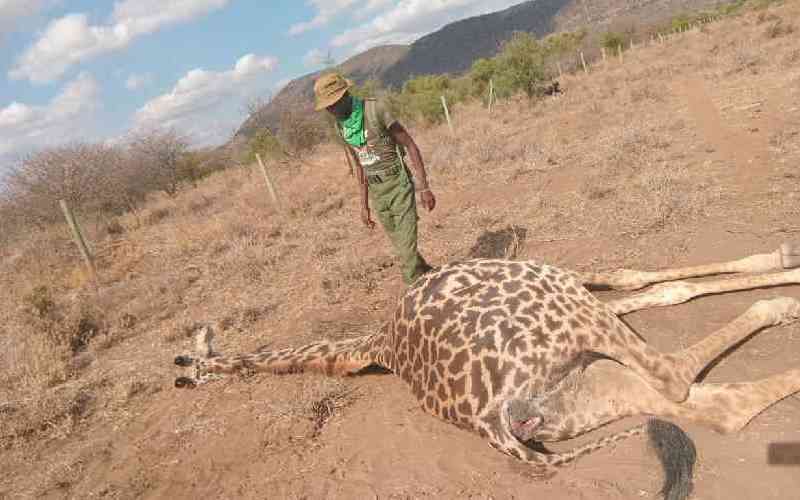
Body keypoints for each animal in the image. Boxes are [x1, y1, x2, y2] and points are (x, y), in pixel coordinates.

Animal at [173, 242, 800, 499]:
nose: (185, 370)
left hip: (589, 388)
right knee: (677, 375)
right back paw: (782, 305)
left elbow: (652, 285)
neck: (378, 346)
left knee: (719, 406)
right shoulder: (561, 282)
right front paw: (783, 263)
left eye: (191, 366)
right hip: (566, 314)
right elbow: (649, 280)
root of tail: (492, 423)